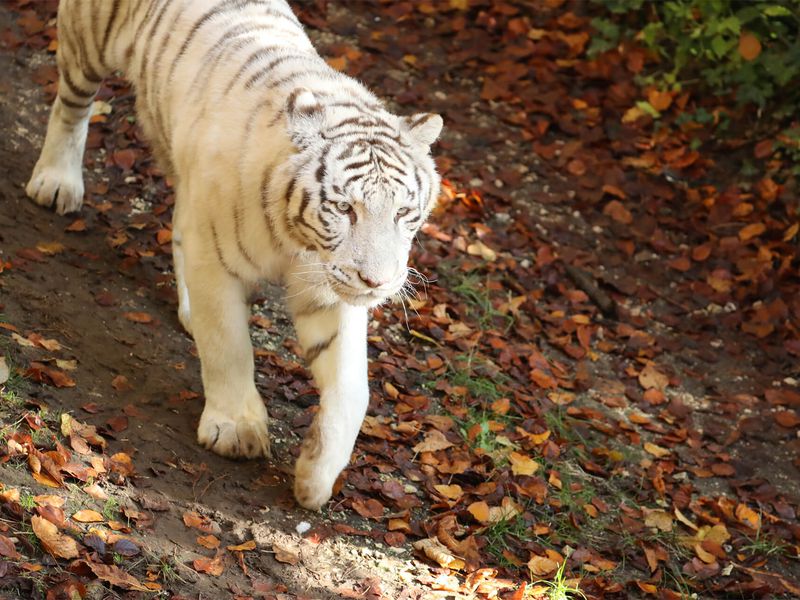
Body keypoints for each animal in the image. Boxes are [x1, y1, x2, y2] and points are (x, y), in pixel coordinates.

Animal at [28, 0, 444, 510]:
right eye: (345, 208)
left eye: (403, 212)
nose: (377, 283)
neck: (297, 239)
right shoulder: (216, 262)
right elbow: (228, 346)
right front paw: (236, 429)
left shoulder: (330, 287)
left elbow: (352, 388)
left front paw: (316, 475)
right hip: (88, 42)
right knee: (71, 104)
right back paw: (55, 182)